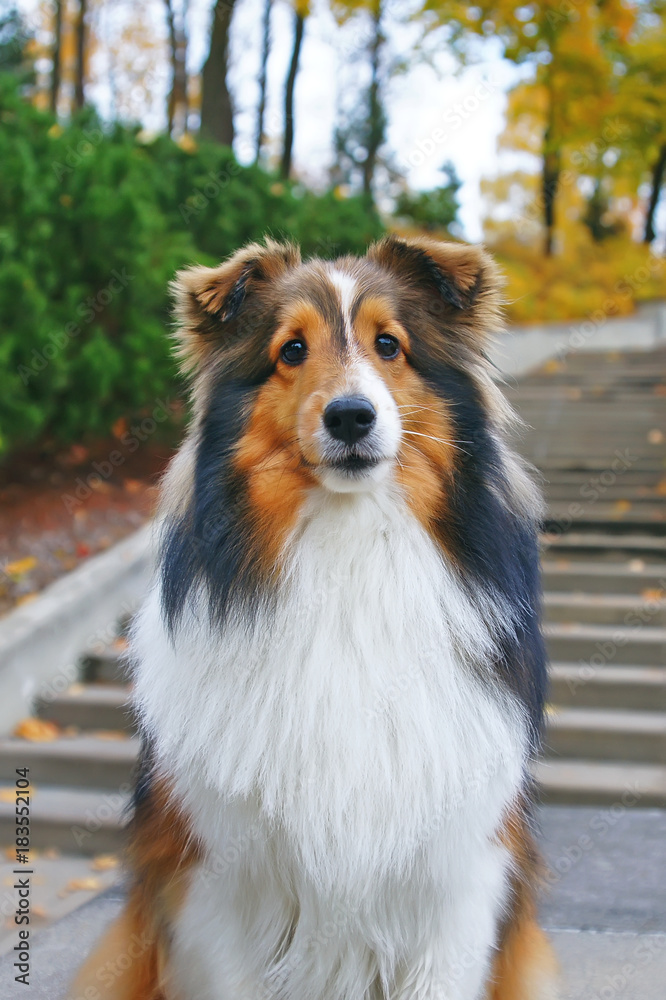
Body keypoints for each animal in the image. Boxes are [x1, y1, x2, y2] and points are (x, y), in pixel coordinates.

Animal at [72, 236, 556, 1000]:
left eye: (389, 344)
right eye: (291, 350)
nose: (351, 417)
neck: (346, 552)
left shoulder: (460, 884)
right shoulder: (217, 888)